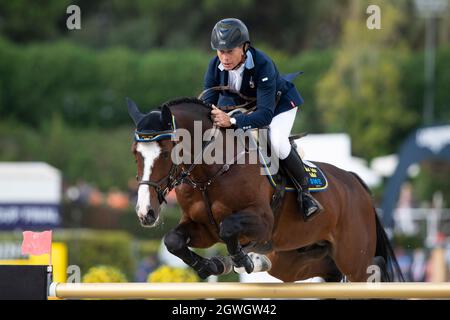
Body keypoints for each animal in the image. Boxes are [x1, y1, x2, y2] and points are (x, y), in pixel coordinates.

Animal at [128, 97, 402, 282]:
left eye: (165, 152)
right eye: (135, 153)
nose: (145, 213)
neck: (210, 175)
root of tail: (356, 183)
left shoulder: (263, 222)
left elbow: (228, 227)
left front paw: (239, 260)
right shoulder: (203, 229)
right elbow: (173, 240)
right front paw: (211, 267)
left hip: (353, 257)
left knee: (368, 268)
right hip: (295, 260)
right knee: (329, 271)